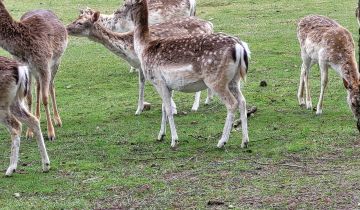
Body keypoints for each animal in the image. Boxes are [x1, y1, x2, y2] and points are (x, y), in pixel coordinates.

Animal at [0, 1, 68, 141]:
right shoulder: (28, 68)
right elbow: (29, 97)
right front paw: (29, 132)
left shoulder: (44, 64)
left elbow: (45, 98)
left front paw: (51, 133)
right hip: (36, 72)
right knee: (38, 86)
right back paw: (37, 116)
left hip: (56, 61)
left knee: (51, 86)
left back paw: (57, 120)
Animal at [67, 9, 214, 115]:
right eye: (76, 19)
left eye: (80, 23)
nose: (67, 28)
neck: (129, 50)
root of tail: (210, 25)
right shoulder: (140, 66)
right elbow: (141, 84)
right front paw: (138, 110)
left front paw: (173, 109)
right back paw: (208, 100)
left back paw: (195, 106)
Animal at [129, 0, 250, 148]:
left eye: (128, 3)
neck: (143, 48)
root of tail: (240, 47)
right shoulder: (167, 85)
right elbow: (164, 108)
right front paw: (160, 135)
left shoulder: (158, 81)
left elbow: (168, 109)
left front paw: (174, 140)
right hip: (234, 80)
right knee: (242, 101)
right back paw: (244, 141)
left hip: (216, 80)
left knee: (232, 104)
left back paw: (222, 142)